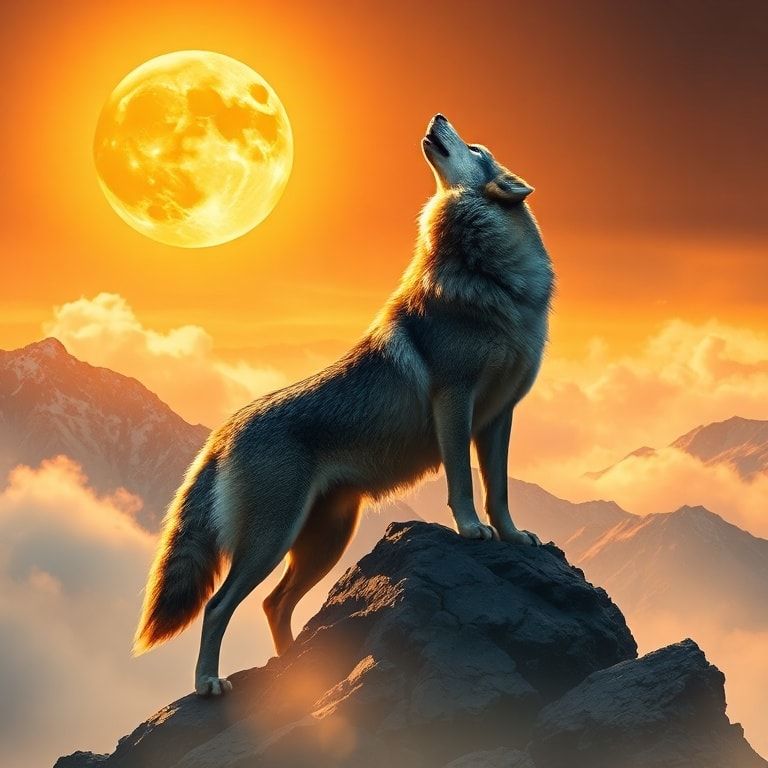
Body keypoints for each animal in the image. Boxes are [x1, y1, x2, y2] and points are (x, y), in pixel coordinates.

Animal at [134, 114, 555, 696]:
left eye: (474, 147)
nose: (437, 117)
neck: (494, 280)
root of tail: (223, 430)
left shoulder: (498, 416)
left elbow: (500, 490)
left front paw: (513, 537)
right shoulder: (455, 400)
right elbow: (463, 484)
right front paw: (472, 531)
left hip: (325, 542)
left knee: (273, 604)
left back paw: (296, 671)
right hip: (272, 541)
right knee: (220, 606)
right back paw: (208, 683)